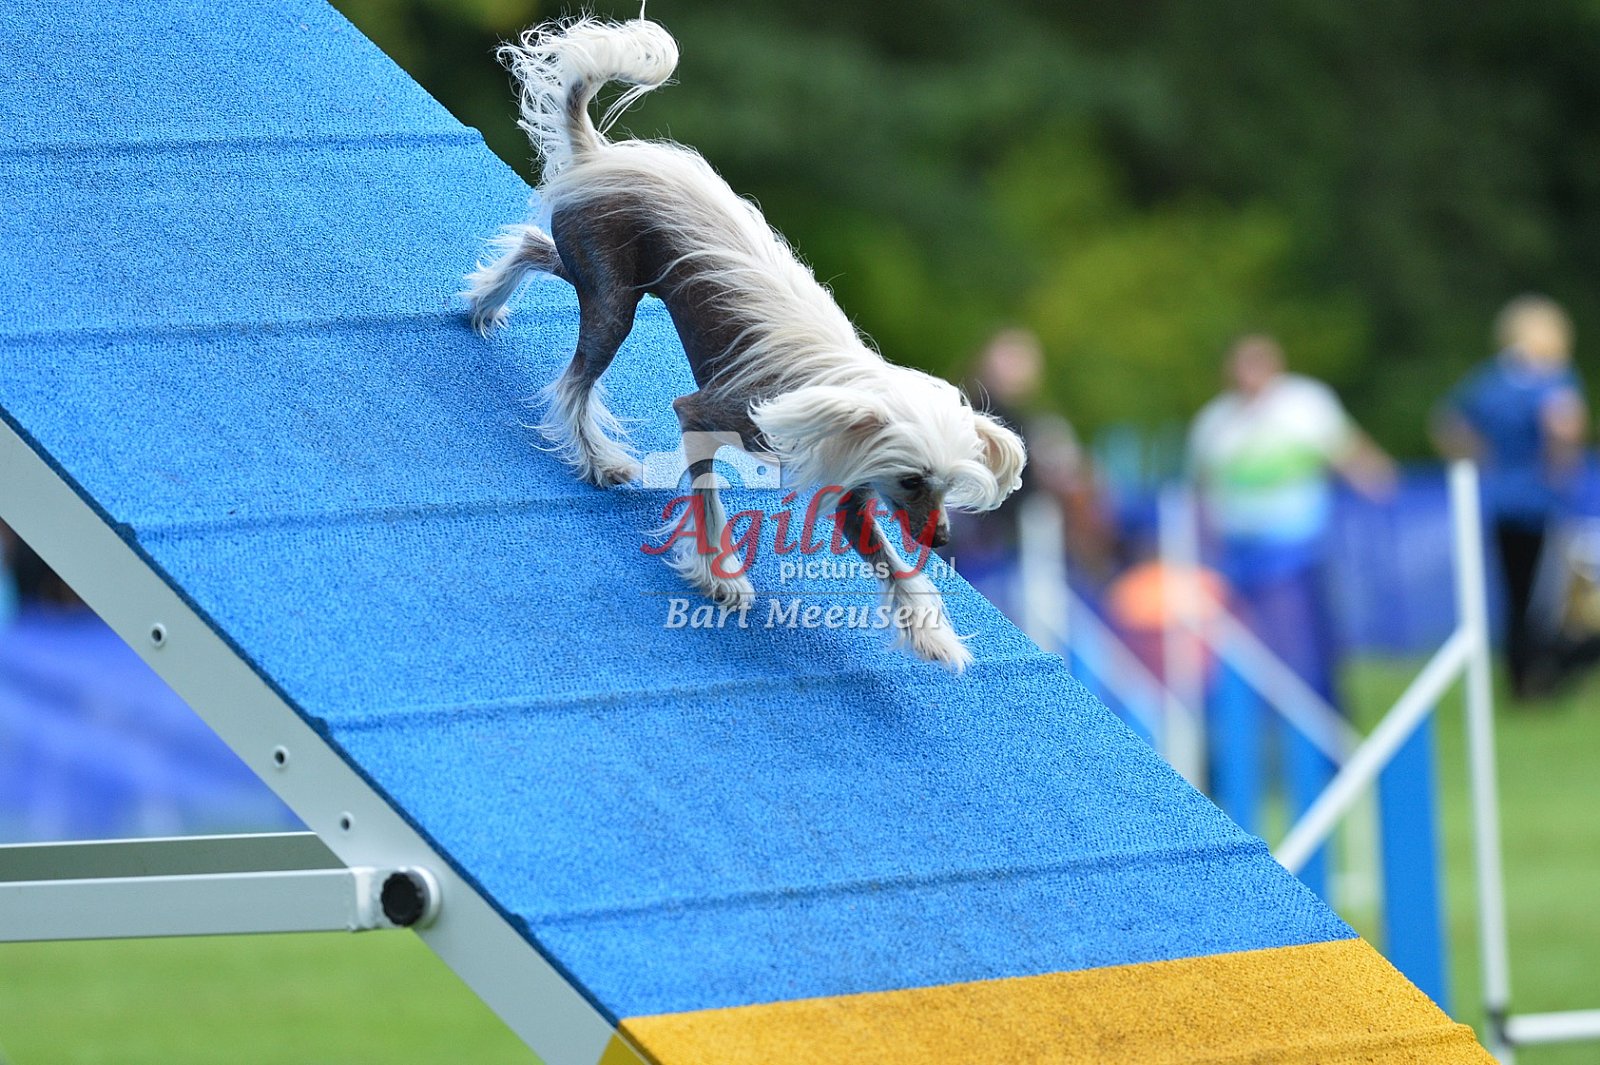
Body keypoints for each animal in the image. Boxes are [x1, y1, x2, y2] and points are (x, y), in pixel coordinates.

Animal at [464, 17, 1026, 670]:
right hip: (612, 297)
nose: (942, 537)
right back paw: (598, 458)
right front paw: (721, 576)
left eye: (947, 485)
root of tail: (599, 156)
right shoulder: (706, 415)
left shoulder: (855, 490)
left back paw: (484, 302)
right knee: (576, 381)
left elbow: (889, 561)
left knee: (533, 245)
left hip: (600, 275)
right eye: (913, 480)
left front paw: (932, 635)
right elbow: (708, 500)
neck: (843, 392)